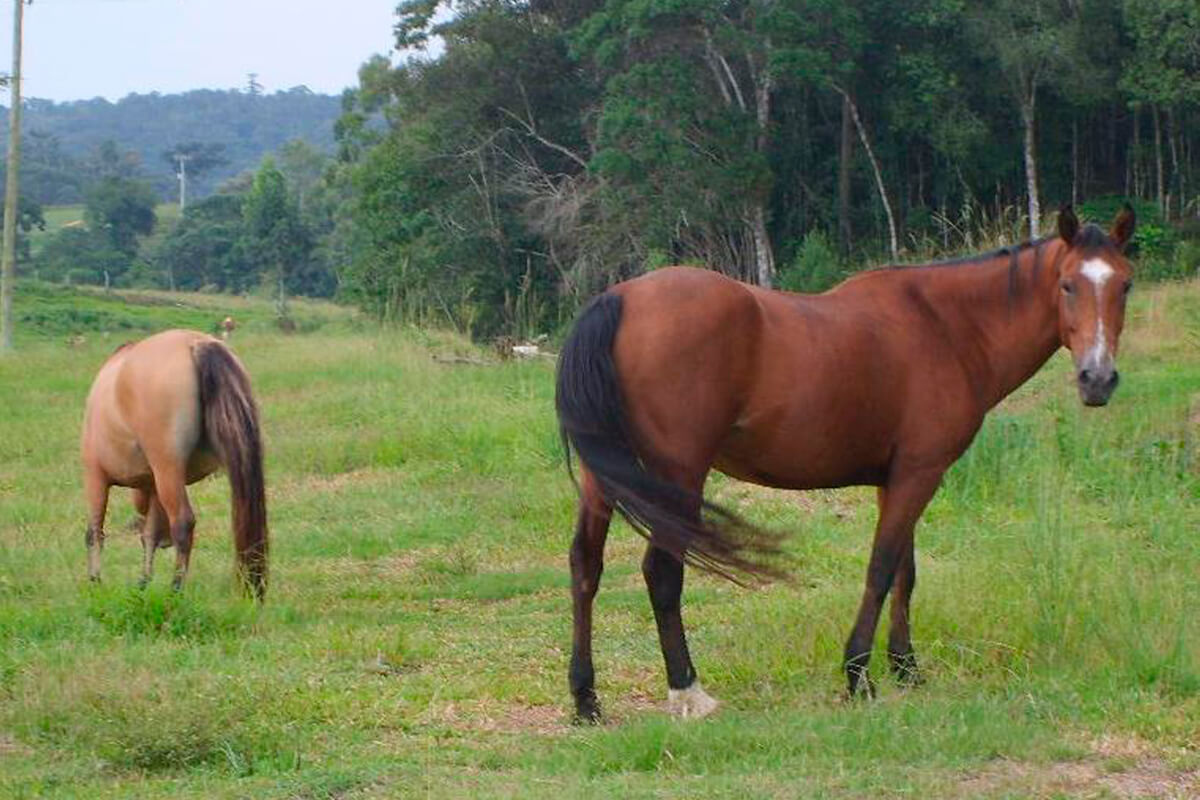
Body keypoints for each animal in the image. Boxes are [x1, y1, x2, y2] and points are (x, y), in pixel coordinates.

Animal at [83, 328, 271, 597]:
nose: (166, 541)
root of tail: (197, 343)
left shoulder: (96, 476)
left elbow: (94, 531)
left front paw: (95, 581)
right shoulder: (153, 486)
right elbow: (148, 535)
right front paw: (143, 583)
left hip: (168, 469)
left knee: (183, 523)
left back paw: (176, 589)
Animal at [552, 205, 1132, 719]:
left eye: (1124, 285)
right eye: (1067, 284)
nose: (1098, 379)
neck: (944, 326)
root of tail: (619, 298)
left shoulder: (898, 478)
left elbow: (905, 573)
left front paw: (906, 667)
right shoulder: (920, 473)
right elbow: (881, 569)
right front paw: (858, 674)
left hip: (605, 476)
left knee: (586, 567)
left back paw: (586, 699)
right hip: (678, 475)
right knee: (662, 572)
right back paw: (687, 691)